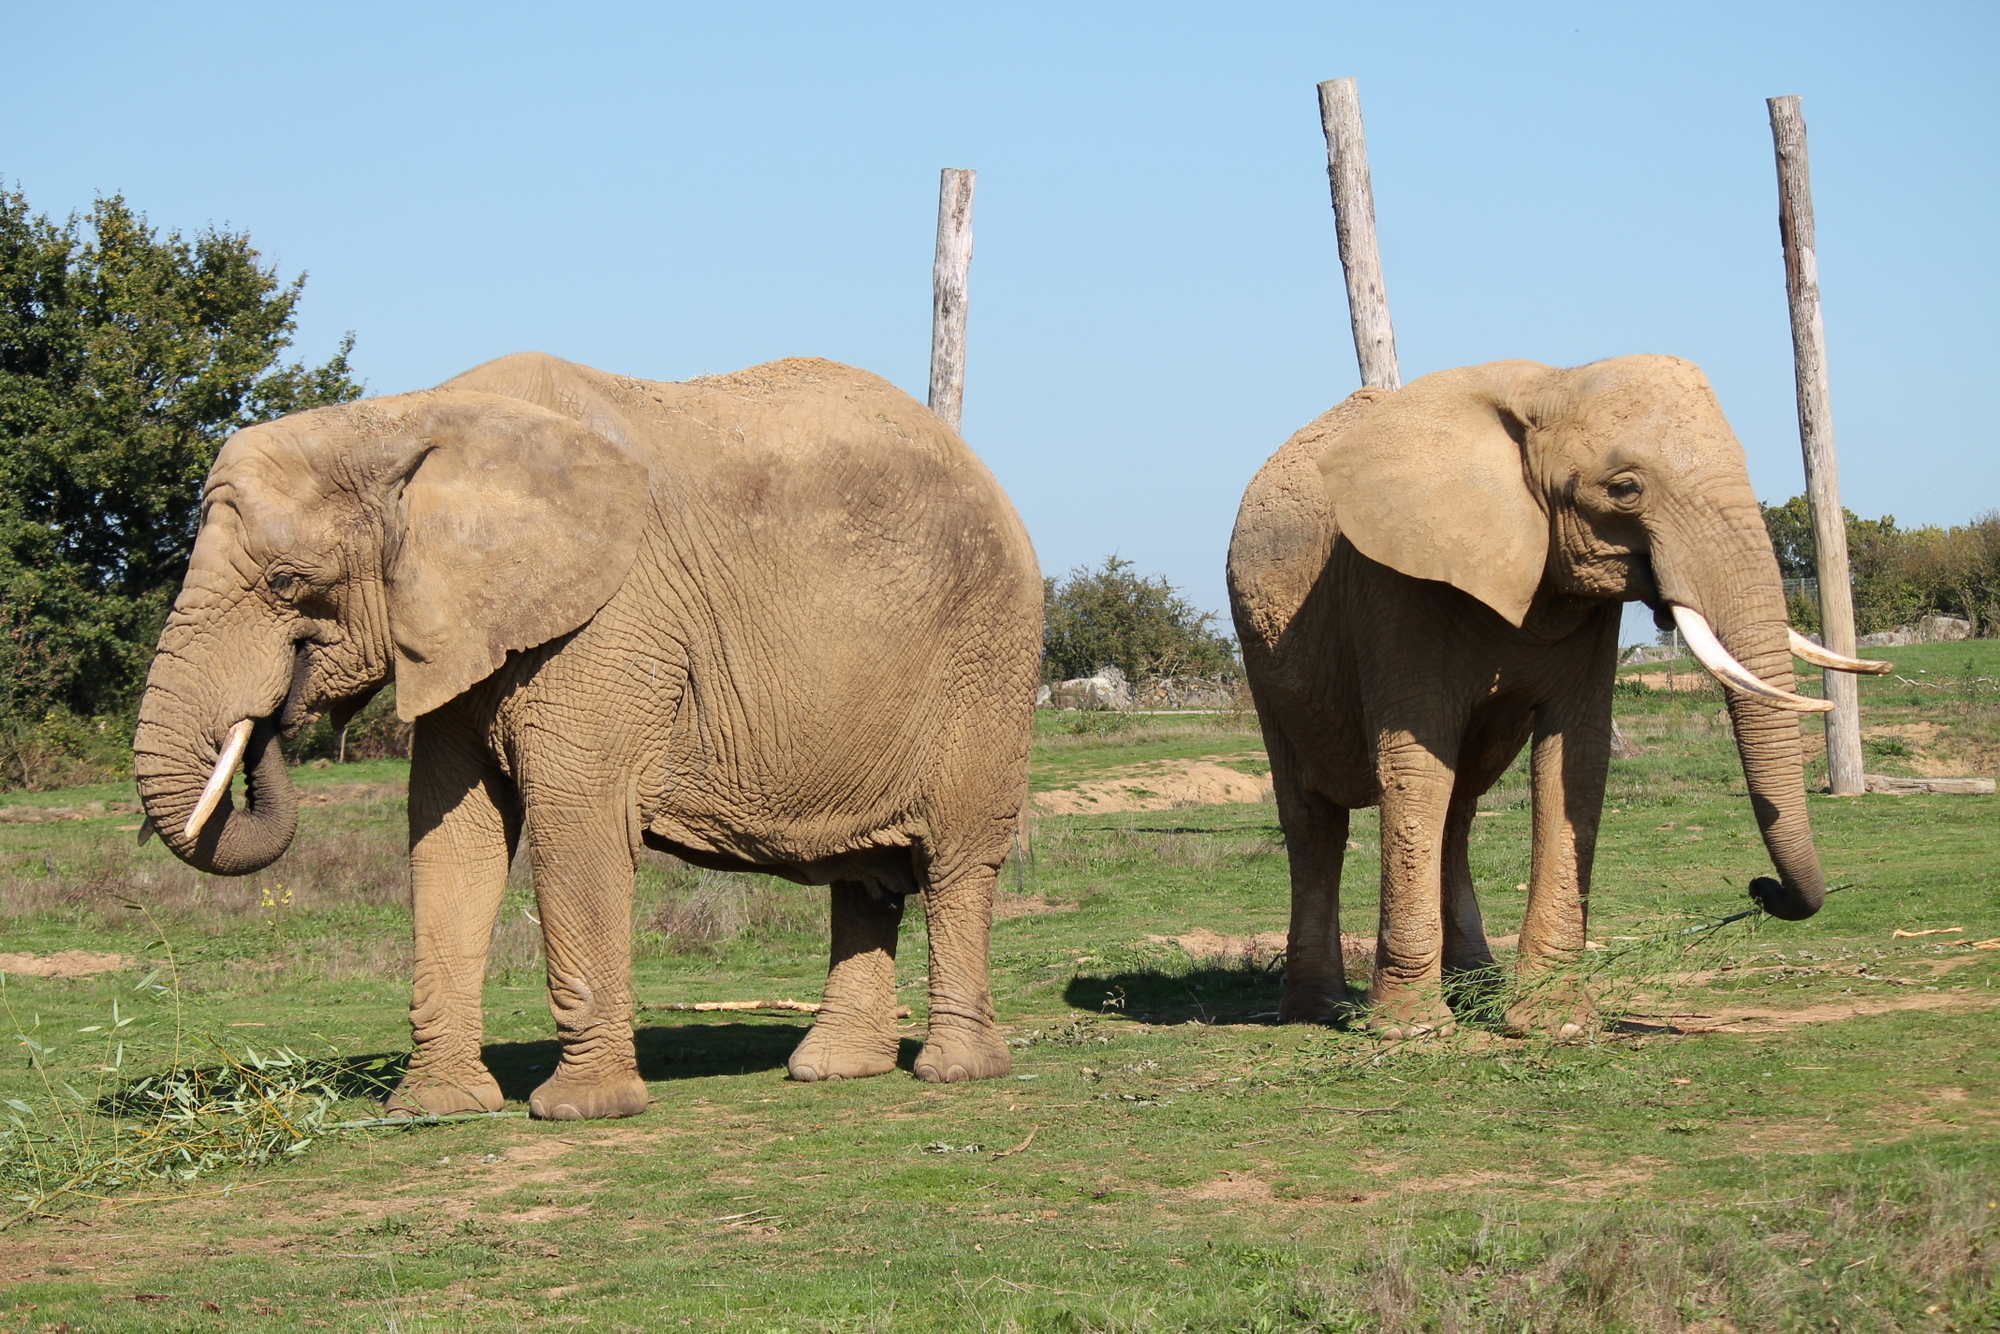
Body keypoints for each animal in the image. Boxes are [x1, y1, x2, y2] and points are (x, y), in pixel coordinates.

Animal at [137, 352, 1048, 1120]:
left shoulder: (607, 623)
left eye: (290, 582)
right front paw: (432, 1110)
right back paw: (829, 1070)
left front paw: (581, 1112)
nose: (274, 717)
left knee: (957, 860)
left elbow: (577, 822)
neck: (401, 421)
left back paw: (952, 1071)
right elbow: (452, 837)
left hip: (988, 658)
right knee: (863, 878)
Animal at [1216, 358, 1888, 1040]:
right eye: (1624, 489)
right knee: (1313, 816)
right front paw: (1412, 1032)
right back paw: (1320, 1010)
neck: (1551, 385)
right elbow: (1417, 768)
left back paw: (1477, 992)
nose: (1760, 888)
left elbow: (1575, 757)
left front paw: (1555, 1024)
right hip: (1262, 652)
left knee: (1460, 806)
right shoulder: (1393, 582)